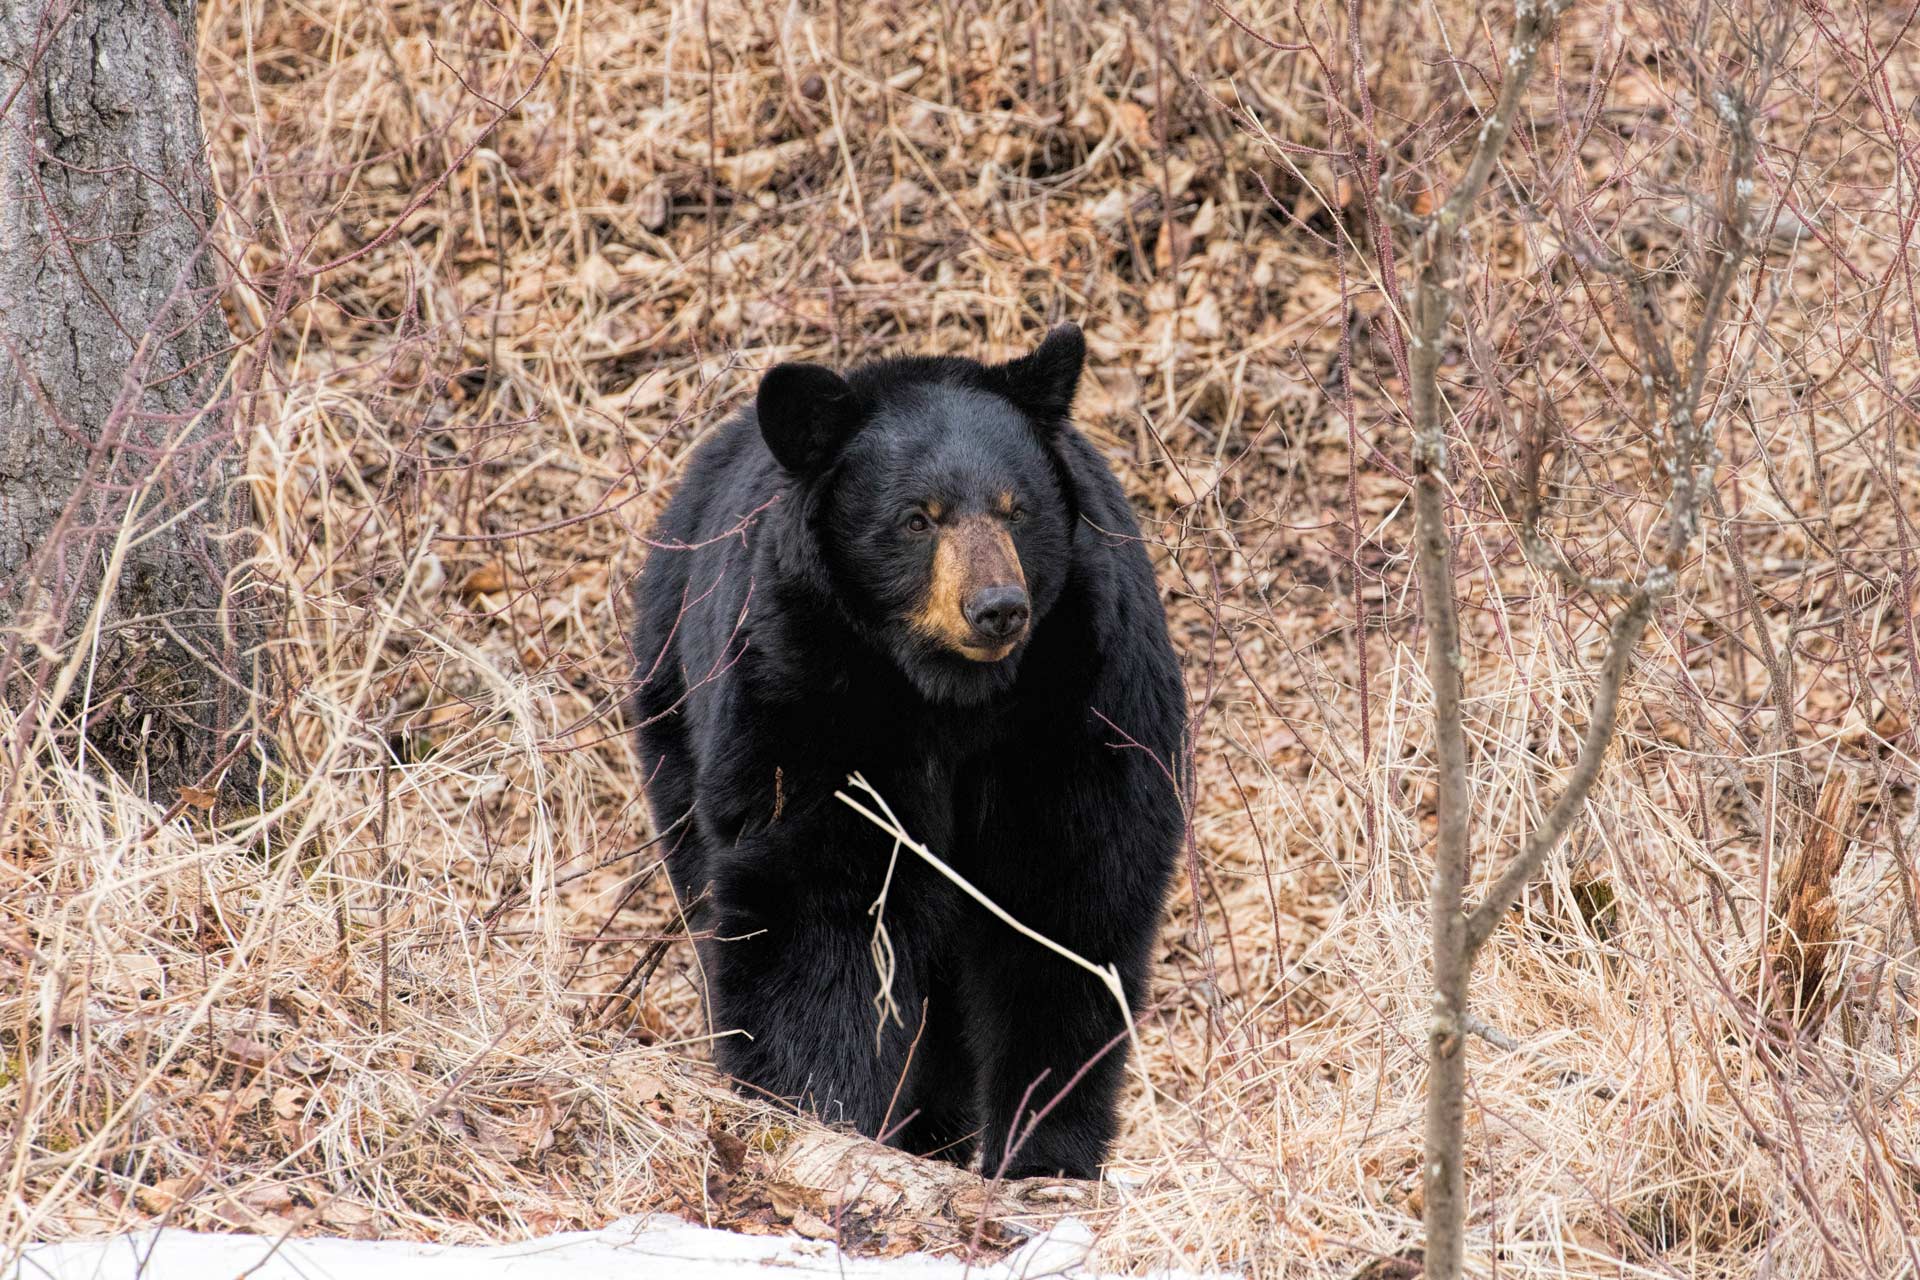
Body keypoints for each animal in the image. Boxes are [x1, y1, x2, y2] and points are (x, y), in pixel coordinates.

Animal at [628, 324, 1184, 1180]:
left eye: (1017, 510)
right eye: (918, 519)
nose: (998, 609)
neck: (954, 695)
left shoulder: (1083, 699)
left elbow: (1069, 894)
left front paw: (1044, 1150)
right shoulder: (809, 683)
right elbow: (822, 896)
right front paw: (818, 1107)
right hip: (674, 701)